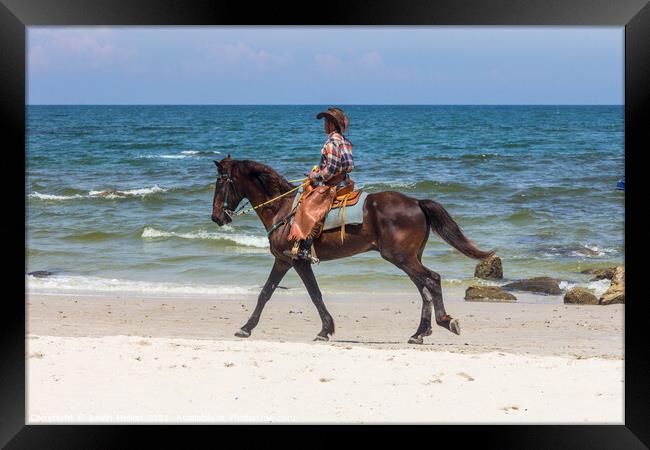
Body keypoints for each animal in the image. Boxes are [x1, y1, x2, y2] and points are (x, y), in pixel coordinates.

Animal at [209, 156, 492, 344]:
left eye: (221, 183)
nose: (216, 217)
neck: (282, 208)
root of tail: (416, 202)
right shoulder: (283, 261)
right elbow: (265, 293)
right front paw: (246, 327)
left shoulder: (298, 261)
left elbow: (314, 294)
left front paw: (325, 330)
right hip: (408, 258)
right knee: (424, 289)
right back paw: (419, 333)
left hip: (401, 257)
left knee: (432, 280)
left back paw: (445, 322)